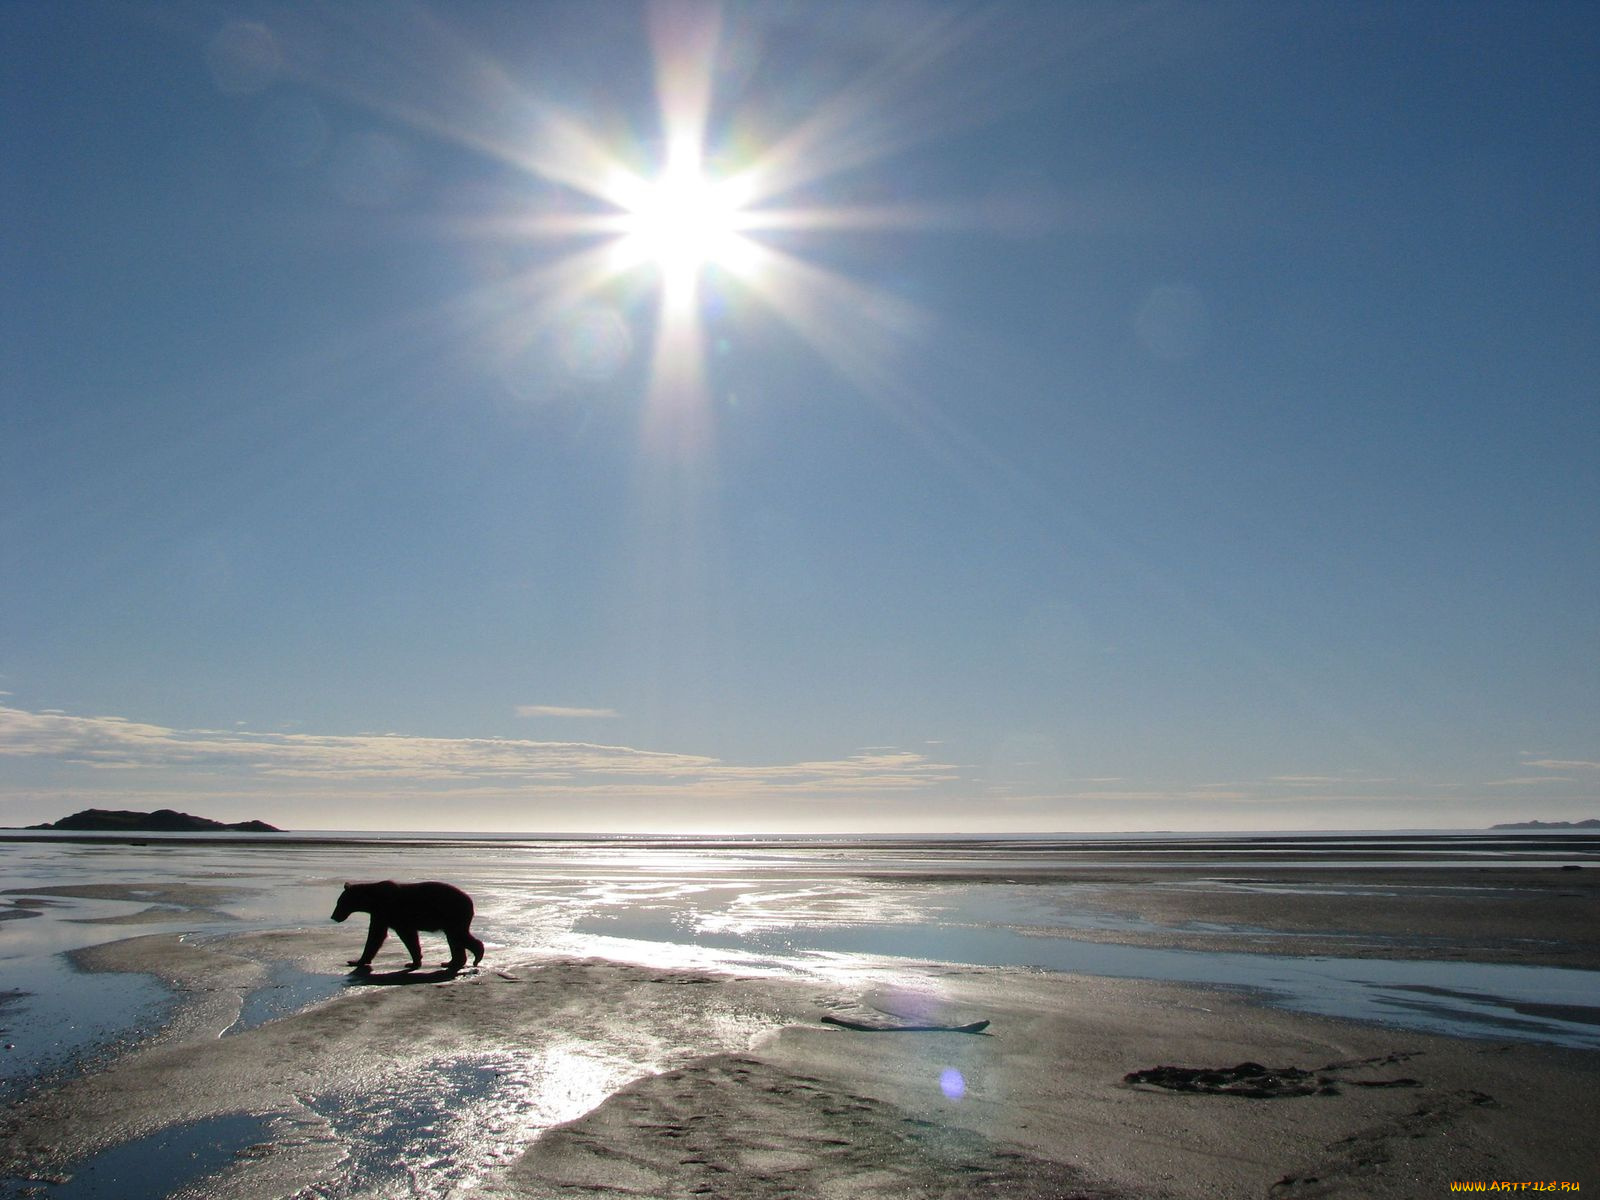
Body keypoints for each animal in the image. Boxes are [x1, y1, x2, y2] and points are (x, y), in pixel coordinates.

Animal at [331, 880, 485, 973]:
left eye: (339, 902)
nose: (333, 916)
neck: (372, 901)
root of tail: (470, 901)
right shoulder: (382, 915)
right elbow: (405, 936)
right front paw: (414, 961)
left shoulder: (387, 911)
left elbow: (379, 936)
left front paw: (356, 961)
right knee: (454, 939)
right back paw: (451, 962)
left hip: (453, 914)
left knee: (457, 936)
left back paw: (476, 955)